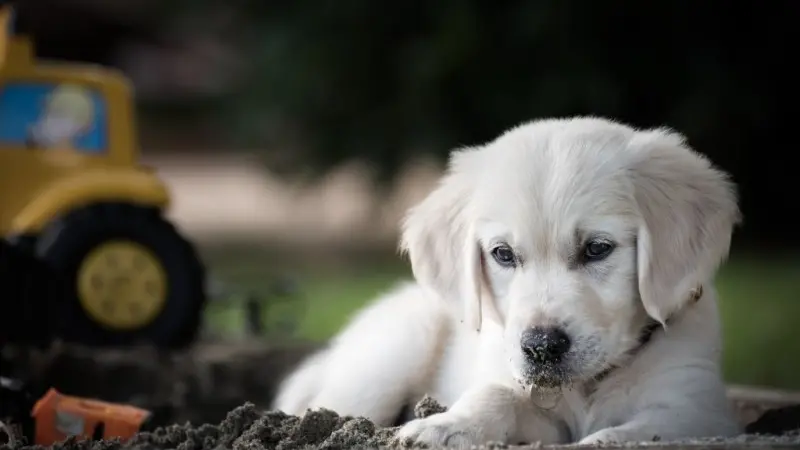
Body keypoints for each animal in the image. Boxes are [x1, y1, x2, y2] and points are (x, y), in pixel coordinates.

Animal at [272, 116, 740, 446]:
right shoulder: (524, 396)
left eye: (596, 248)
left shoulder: (696, 404)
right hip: (391, 356)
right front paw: (446, 426)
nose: (541, 348)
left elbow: (641, 431)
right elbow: (495, 394)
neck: (589, 386)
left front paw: (603, 439)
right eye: (503, 254)